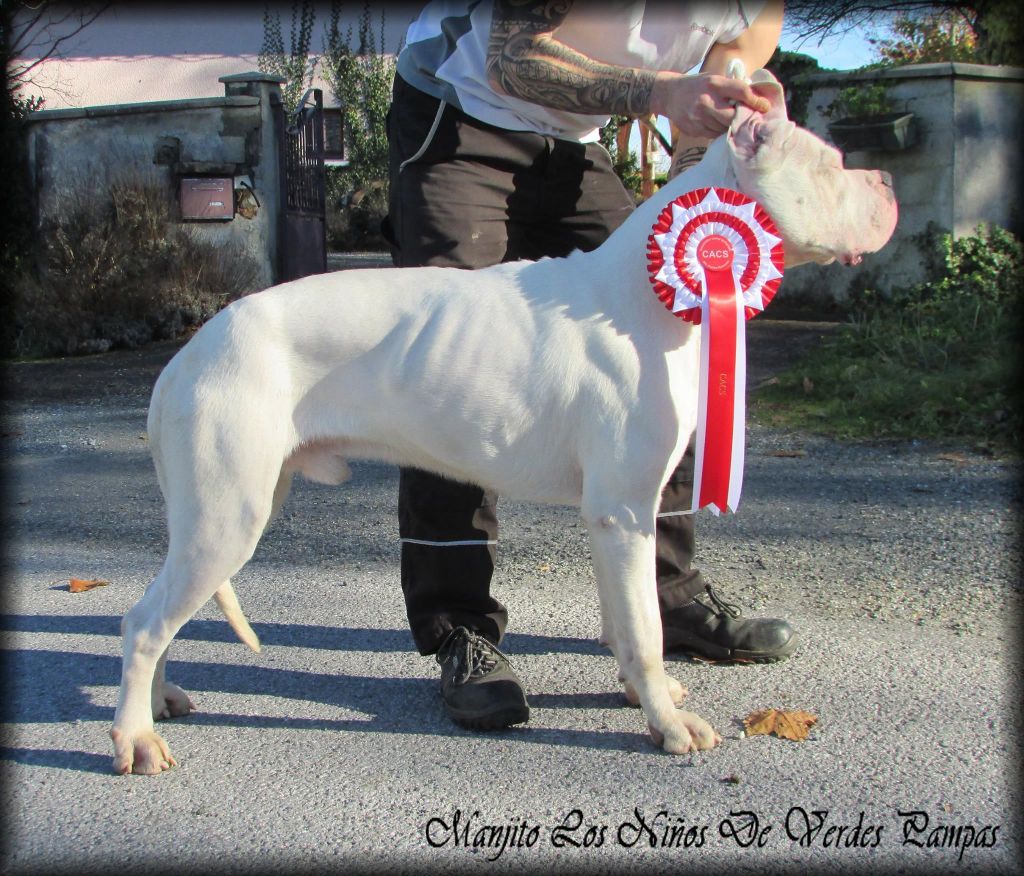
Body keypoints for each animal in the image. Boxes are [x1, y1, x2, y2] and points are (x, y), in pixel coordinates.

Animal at [110, 71, 897, 778]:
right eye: (831, 166)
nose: (887, 179)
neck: (653, 292)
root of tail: (188, 351)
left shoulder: (619, 517)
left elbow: (626, 620)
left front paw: (647, 695)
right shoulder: (624, 512)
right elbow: (644, 628)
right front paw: (668, 726)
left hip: (236, 506)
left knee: (159, 613)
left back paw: (161, 703)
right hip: (227, 518)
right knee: (144, 621)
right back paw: (137, 739)